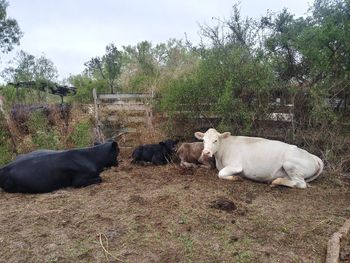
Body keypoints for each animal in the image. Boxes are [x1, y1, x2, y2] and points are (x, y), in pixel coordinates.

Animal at [194, 129, 322, 189]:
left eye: (215, 140)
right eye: (203, 140)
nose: (206, 152)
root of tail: (313, 156)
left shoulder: (236, 166)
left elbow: (220, 173)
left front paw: (237, 178)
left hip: (290, 164)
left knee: (301, 184)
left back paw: (276, 181)